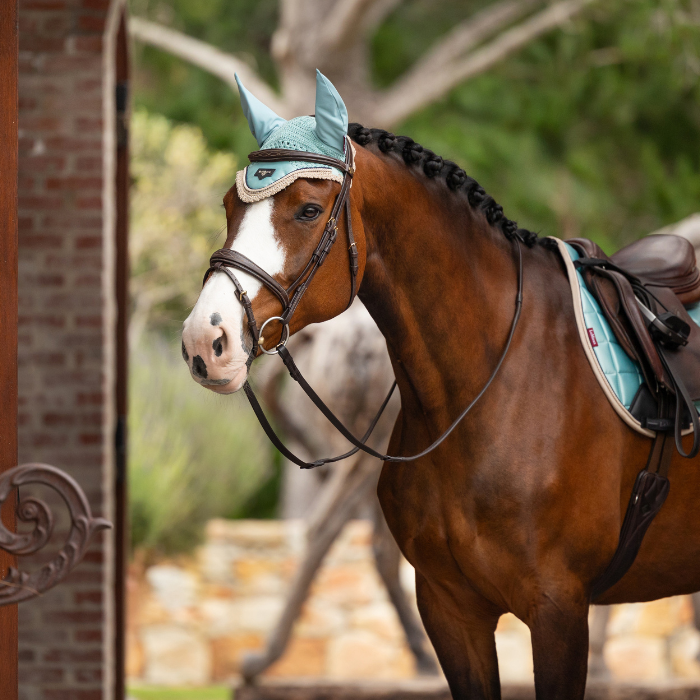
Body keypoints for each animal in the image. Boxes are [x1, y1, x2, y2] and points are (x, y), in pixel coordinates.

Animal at [181, 72, 700, 699]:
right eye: (230, 205)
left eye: (308, 209)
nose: (205, 341)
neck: (492, 387)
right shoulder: (452, 609)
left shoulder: (558, 609)